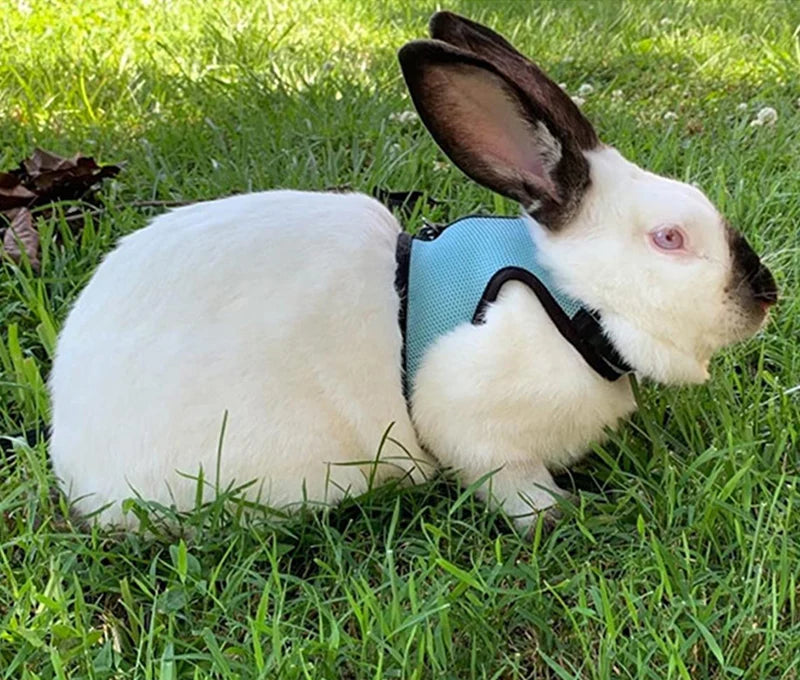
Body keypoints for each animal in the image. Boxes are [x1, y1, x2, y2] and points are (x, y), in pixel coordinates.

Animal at [49, 11, 777, 529]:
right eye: (669, 238)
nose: (766, 293)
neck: (570, 302)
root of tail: (73, 451)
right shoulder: (481, 431)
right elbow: (511, 485)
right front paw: (558, 516)